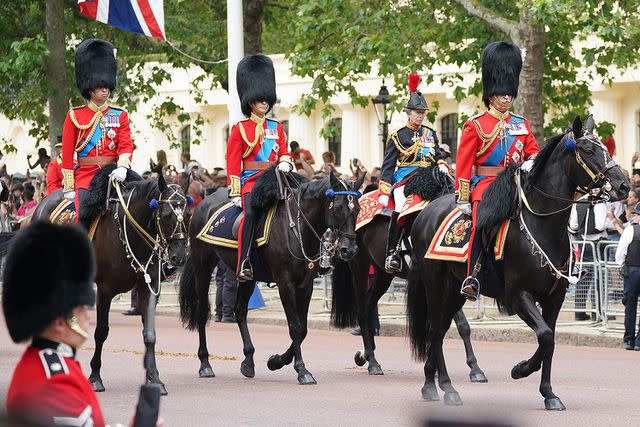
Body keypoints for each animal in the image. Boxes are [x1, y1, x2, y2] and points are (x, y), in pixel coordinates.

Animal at [31, 169, 190, 396]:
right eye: (167, 214)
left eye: (187, 214)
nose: (180, 258)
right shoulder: (105, 291)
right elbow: (101, 332)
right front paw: (95, 377)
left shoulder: (149, 287)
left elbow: (149, 334)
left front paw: (154, 378)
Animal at [180, 171, 362, 384]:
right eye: (338, 207)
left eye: (357, 208)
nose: (349, 250)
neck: (298, 227)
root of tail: (203, 203)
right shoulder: (285, 283)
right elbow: (295, 327)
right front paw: (302, 370)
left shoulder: (305, 285)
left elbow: (303, 329)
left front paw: (276, 361)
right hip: (203, 266)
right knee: (202, 312)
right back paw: (205, 364)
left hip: (247, 278)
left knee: (240, 311)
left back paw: (248, 362)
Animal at [408, 115, 628, 410]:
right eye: (588, 150)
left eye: (605, 147)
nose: (624, 185)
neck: (544, 225)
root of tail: (424, 213)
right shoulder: (518, 295)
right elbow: (544, 336)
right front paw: (520, 369)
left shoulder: (555, 298)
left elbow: (550, 340)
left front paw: (549, 394)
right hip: (435, 284)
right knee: (434, 329)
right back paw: (444, 387)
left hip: (455, 290)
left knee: (440, 329)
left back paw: (434, 384)